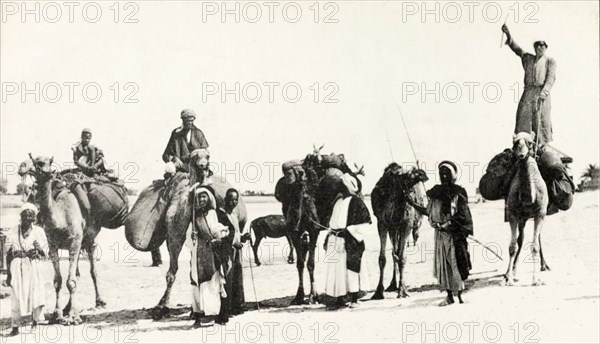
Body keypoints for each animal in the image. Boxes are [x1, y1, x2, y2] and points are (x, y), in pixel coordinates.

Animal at [25, 155, 106, 324]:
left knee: (92, 270)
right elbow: (58, 281)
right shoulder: (53, 245)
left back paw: (99, 301)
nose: (49, 171)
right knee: (77, 273)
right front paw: (57, 314)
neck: (61, 219)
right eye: (37, 162)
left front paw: (74, 316)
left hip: (89, 241)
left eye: (48, 162)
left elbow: (71, 281)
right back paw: (67, 307)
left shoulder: (75, 242)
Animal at [155, 154, 248, 318]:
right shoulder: (173, 237)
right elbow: (173, 272)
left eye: (207, 155)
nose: (204, 167)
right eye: (194, 157)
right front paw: (161, 307)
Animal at [368, 163, 428, 300]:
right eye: (407, 178)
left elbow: (402, 257)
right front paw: (378, 292)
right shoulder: (382, 223)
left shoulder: (406, 225)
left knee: (397, 253)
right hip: (392, 229)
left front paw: (402, 290)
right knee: (393, 253)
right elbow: (382, 258)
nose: (422, 175)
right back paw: (392, 285)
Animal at [504, 133, 552, 286]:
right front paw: (509, 279)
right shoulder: (512, 214)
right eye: (515, 142)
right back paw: (511, 273)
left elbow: (535, 245)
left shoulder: (540, 213)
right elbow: (512, 246)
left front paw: (536, 280)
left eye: (530, 143)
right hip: (522, 218)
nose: (521, 154)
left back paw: (544, 266)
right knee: (520, 239)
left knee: (537, 238)